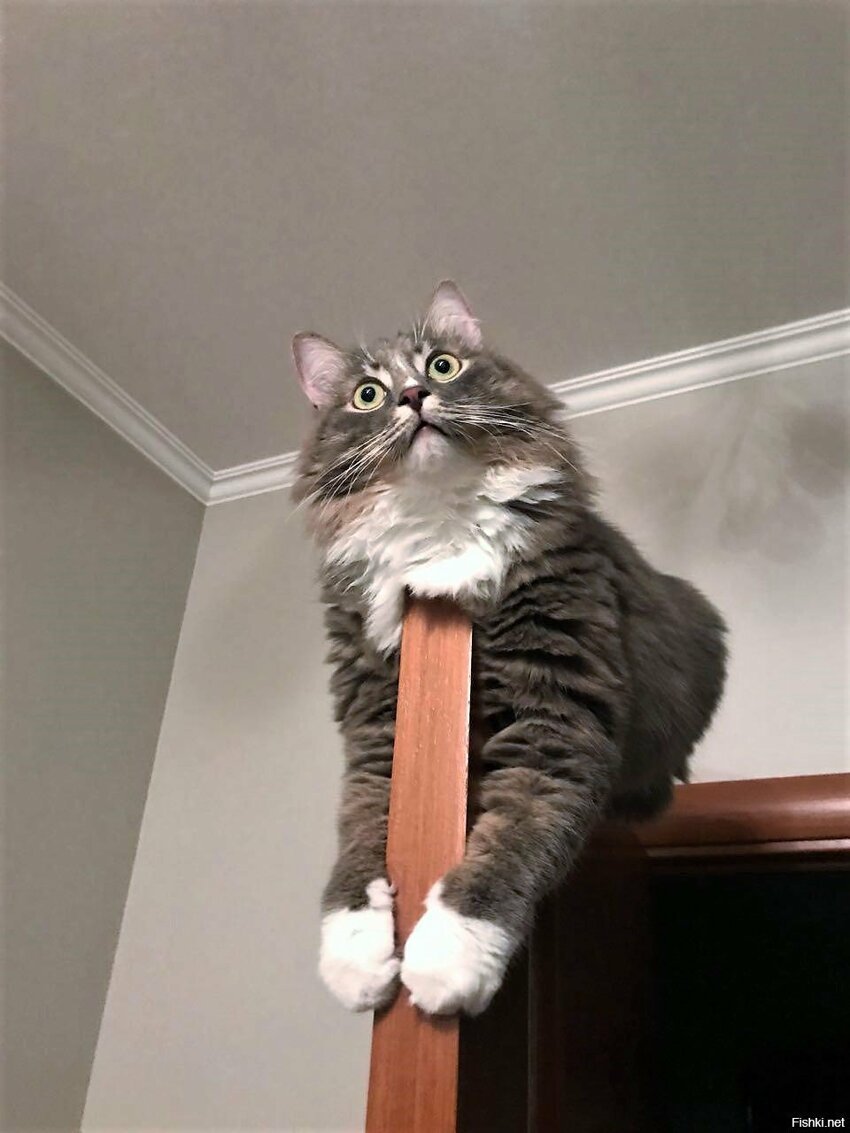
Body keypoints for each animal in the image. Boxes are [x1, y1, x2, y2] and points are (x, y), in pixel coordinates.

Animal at [292, 281, 727, 1017]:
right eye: (367, 395)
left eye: (442, 366)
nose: (413, 395)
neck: (435, 527)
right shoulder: (378, 723)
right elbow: (360, 833)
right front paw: (353, 958)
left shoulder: (557, 709)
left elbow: (513, 842)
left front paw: (446, 961)